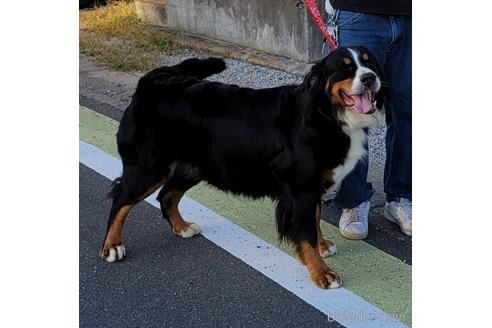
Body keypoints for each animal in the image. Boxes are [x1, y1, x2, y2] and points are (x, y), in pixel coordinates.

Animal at [100, 46, 384, 290]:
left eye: (370, 63)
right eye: (345, 68)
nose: (370, 79)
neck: (325, 112)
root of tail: (153, 79)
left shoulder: (311, 188)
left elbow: (313, 220)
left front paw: (323, 244)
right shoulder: (301, 189)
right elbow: (305, 233)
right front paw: (321, 272)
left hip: (192, 168)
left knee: (167, 195)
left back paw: (182, 228)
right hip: (149, 168)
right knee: (120, 201)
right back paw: (112, 246)